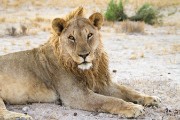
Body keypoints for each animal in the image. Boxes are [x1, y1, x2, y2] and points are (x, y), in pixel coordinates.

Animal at [0, 7, 160, 119]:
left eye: (89, 35)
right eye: (71, 38)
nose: (84, 55)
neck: (89, 70)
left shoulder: (101, 83)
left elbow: (127, 90)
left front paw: (150, 98)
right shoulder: (76, 94)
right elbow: (109, 100)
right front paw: (132, 108)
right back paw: (21, 117)